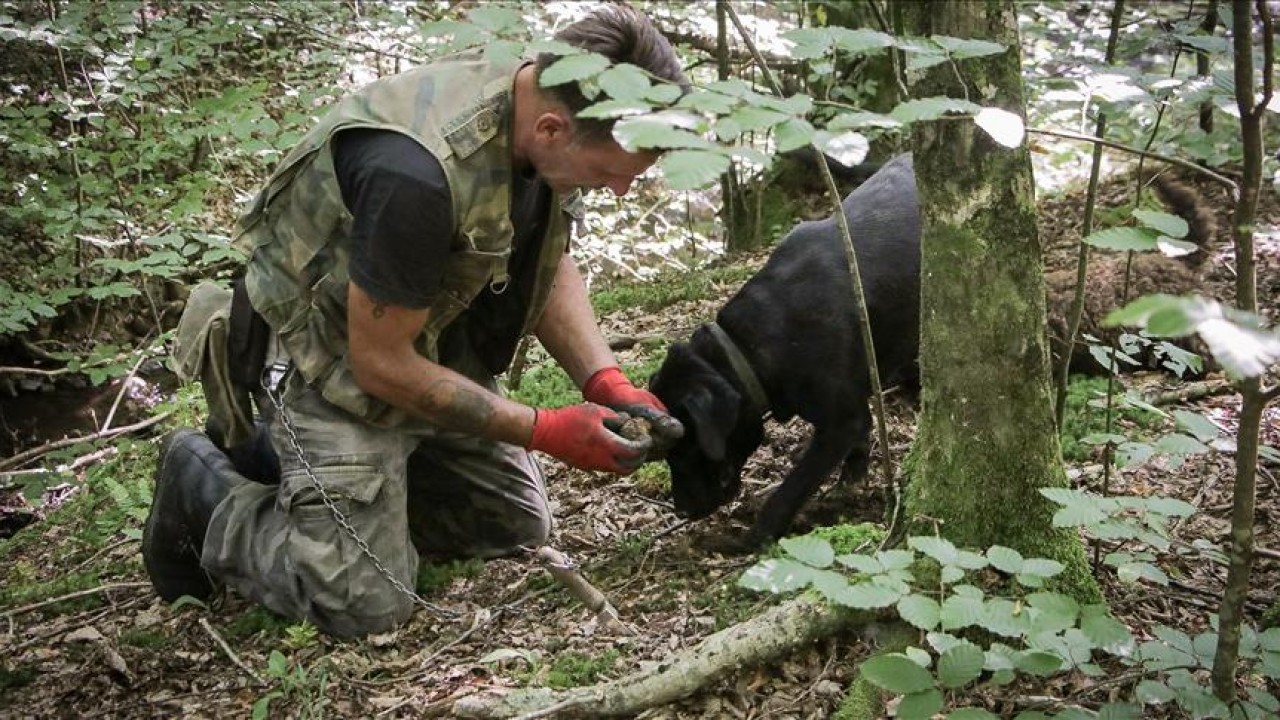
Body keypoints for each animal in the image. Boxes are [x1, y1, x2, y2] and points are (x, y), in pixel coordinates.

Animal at [650, 154, 921, 545]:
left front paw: (754, 537)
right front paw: (852, 478)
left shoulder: (840, 422)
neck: (749, 347)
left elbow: (791, 487)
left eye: (686, 448)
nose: (682, 510)